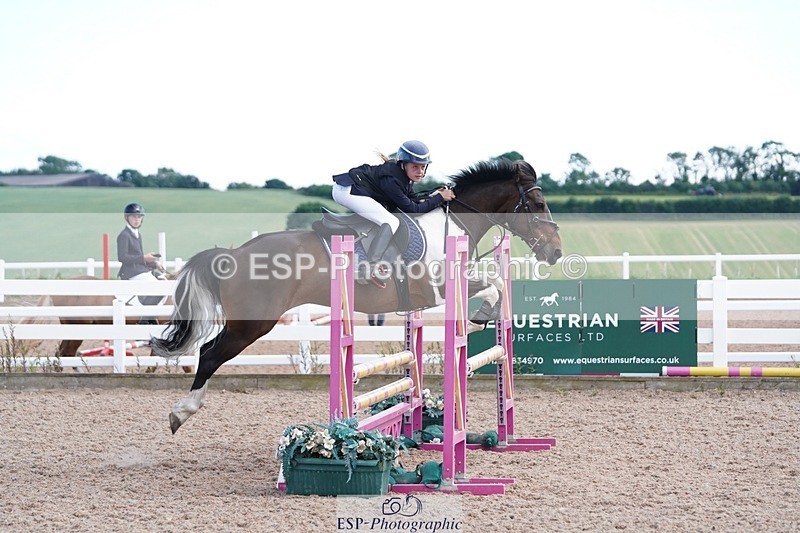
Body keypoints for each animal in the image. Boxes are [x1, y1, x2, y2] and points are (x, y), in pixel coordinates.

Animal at [151, 159, 563, 433]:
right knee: (209, 354)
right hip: (253, 323)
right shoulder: (440, 287)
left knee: (209, 352)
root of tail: (233, 254)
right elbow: (493, 285)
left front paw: (483, 316)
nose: (556, 253)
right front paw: (480, 317)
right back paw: (180, 412)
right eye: (538, 205)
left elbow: (496, 284)